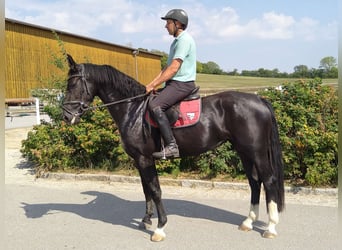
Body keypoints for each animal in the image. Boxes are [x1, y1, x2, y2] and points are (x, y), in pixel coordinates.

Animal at [62, 54, 284, 240]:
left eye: (72, 83)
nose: (66, 116)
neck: (133, 110)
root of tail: (259, 100)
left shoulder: (144, 158)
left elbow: (155, 190)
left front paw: (160, 228)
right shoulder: (140, 160)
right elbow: (146, 189)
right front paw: (146, 220)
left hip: (256, 152)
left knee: (268, 180)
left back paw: (271, 227)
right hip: (244, 152)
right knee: (255, 182)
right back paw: (248, 222)